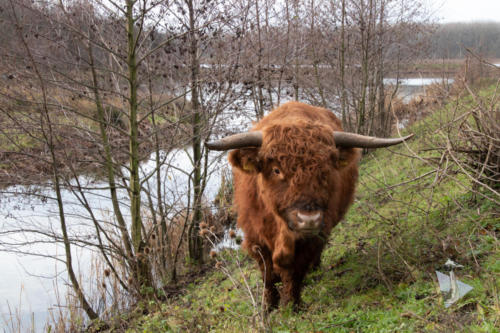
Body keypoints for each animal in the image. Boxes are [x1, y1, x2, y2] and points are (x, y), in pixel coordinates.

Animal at [205, 101, 412, 308]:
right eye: (276, 170)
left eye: (326, 170)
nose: (309, 219)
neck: (282, 230)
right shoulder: (255, 237)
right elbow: (267, 274)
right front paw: (268, 307)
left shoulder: (313, 237)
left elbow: (295, 271)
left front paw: (291, 305)